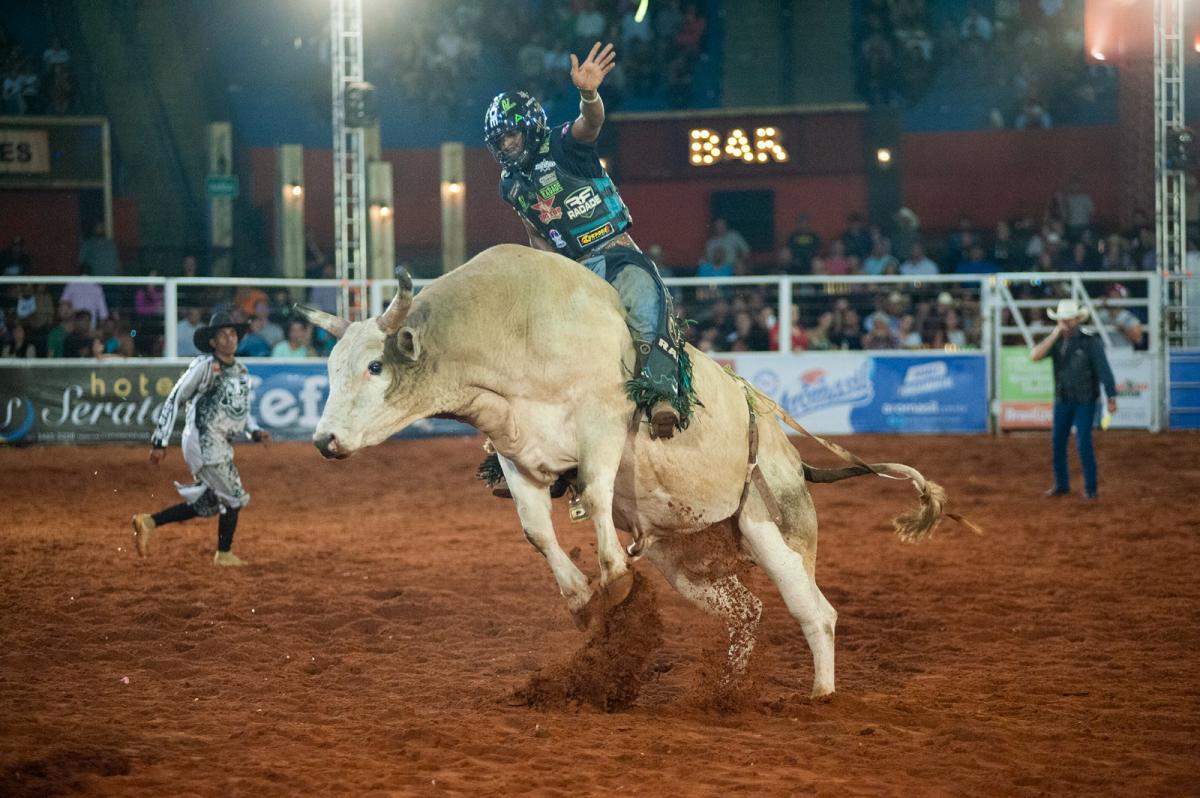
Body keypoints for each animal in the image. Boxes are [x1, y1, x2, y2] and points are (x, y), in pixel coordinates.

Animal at [300, 244, 964, 696]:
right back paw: (727, 691)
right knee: (745, 612)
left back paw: (820, 696)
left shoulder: (600, 424)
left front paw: (614, 579)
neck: (515, 330)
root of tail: (793, 455)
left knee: (815, 612)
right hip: (684, 558)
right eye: (330, 367)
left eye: (375, 367)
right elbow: (535, 530)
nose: (323, 440)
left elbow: (595, 498)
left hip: (774, 526)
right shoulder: (517, 453)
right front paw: (579, 599)